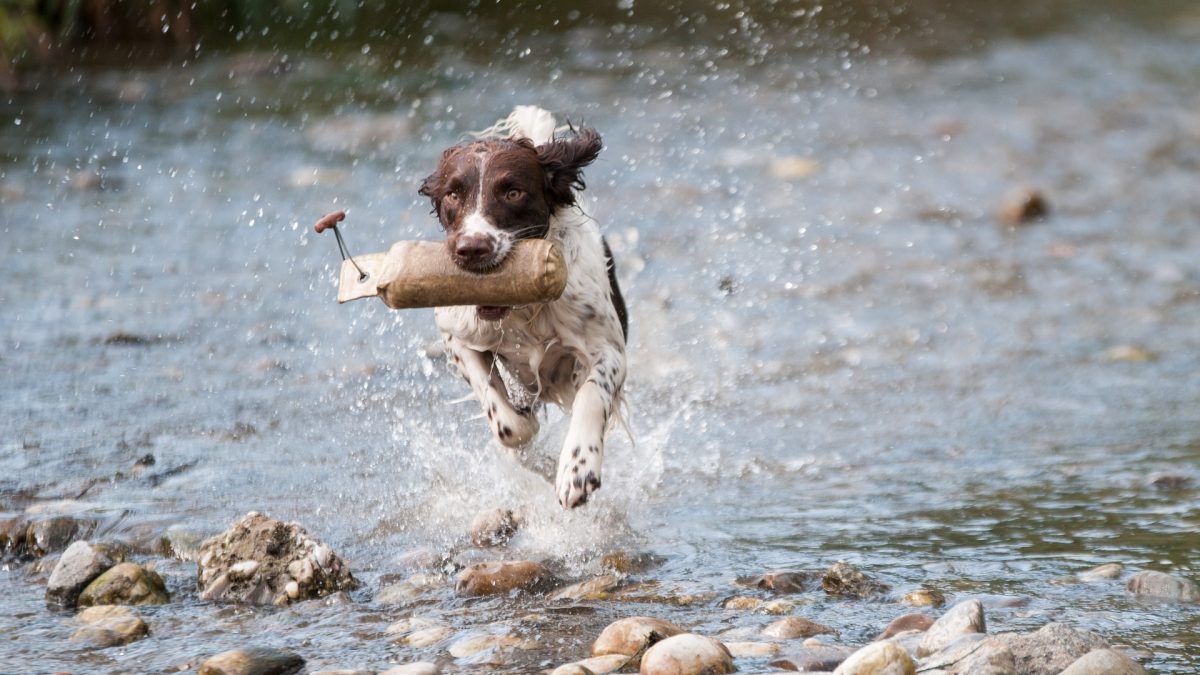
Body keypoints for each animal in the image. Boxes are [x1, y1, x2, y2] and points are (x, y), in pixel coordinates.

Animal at [420, 106, 628, 504]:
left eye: (513, 192)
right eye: (452, 194)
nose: (471, 249)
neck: (523, 310)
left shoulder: (608, 350)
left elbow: (592, 395)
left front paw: (577, 469)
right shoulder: (455, 333)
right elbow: (507, 424)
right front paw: (535, 449)